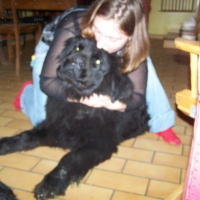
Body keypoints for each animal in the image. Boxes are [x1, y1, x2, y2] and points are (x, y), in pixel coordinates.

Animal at [0, 36, 148, 200]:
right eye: (77, 48)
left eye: (98, 61)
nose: (76, 60)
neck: (80, 105)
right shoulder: (55, 126)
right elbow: (25, 136)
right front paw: (4, 144)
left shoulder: (100, 142)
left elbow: (71, 158)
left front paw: (50, 184)